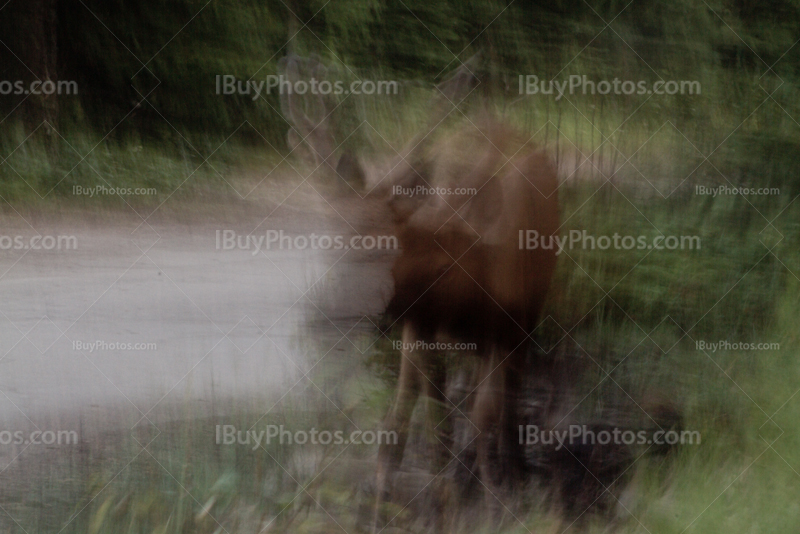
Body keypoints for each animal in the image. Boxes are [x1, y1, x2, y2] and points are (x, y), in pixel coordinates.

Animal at [278, 54, 560, 532]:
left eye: (377, 249)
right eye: (322, 241)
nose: (318, 317)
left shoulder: (507, 325)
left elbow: (484, 416)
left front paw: (495, 503)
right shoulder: (418, 325)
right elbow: (413, 423)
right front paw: (392, 508)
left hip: (531, 310)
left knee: (507, 396)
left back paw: (513, 470)